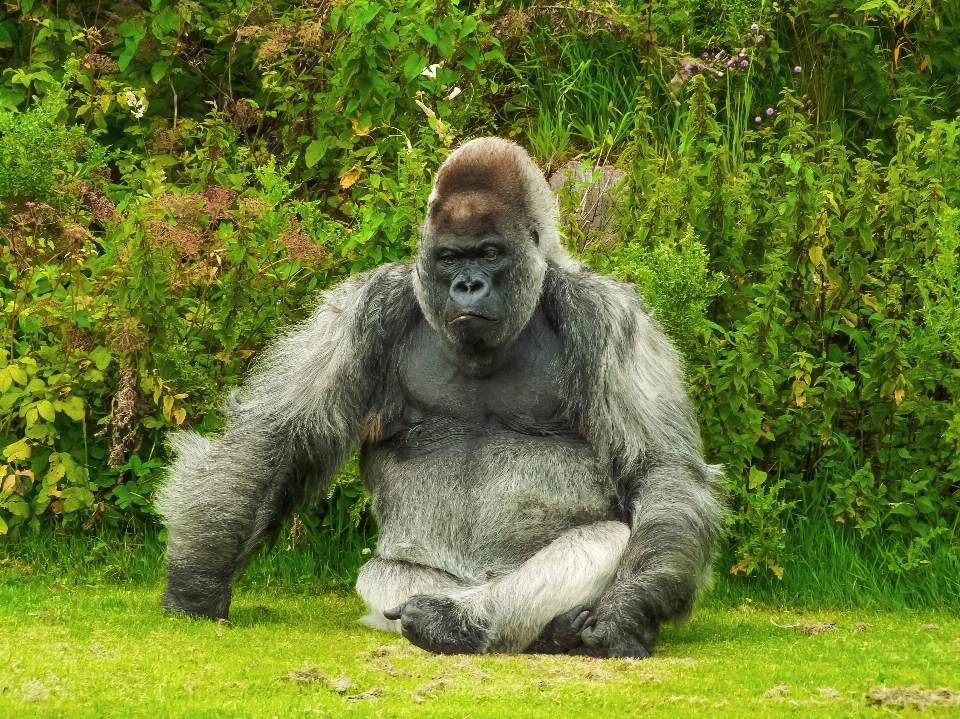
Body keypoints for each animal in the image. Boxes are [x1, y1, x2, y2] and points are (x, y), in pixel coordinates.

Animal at [158, 136, 724, 660]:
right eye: (450, 258)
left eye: (490, 253)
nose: (467, 286)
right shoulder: (363, 309)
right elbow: (277, 436)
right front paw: (198, 582)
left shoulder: (610, 316)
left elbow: (660, 469)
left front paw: (628, 608)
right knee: (384, 572)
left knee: (607, 540)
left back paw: (466, 622)